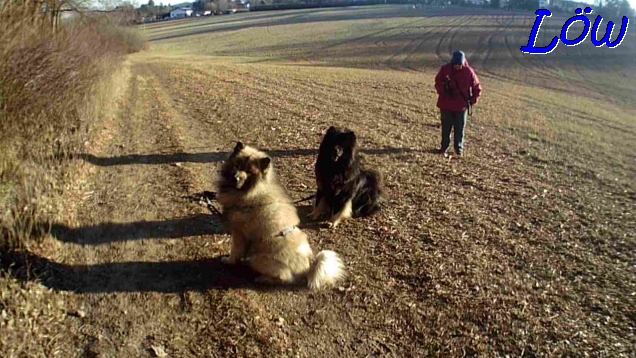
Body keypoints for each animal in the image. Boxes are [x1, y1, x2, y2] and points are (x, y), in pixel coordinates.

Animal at [216, 141, 346, 290]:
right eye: (236, 166)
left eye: (248, 172)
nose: (235, 177)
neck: (252, 191)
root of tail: (310, 265)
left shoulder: (238, 233)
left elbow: (235, 251)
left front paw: (228, 261)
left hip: (258, 257)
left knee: (284, 277)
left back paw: (263, 278)